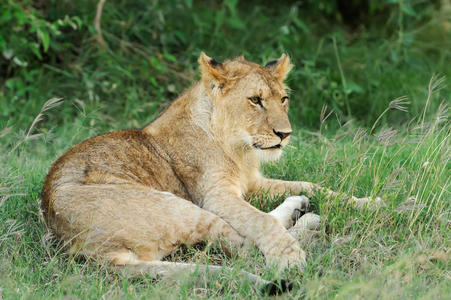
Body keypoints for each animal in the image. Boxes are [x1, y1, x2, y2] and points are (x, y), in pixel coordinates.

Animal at [41, 52, 378, 292]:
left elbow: (313, 185)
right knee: (244, 248)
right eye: (255, 100)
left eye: (283, 99)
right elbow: (260, 223)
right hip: (178, 206)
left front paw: (369, 204)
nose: (285, 134)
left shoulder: (253, 184)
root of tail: (95, 254)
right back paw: (310, 227)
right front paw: (288, 259)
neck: (239, 148)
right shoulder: (216, 195)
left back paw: (303, 208)